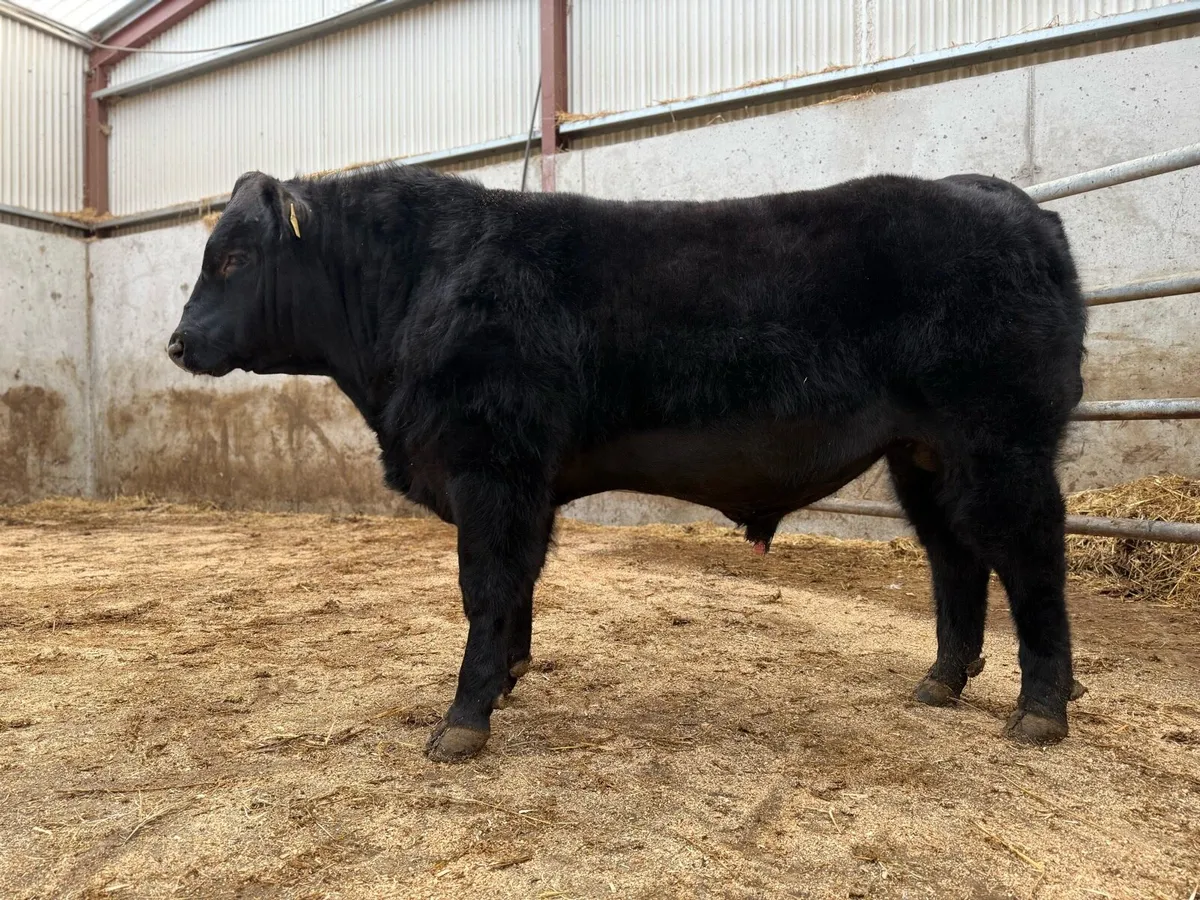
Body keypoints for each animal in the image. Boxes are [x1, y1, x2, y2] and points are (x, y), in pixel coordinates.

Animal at [167, 165, 1086, 762]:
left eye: (237, 257)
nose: (177, 342)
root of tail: (1011, 204)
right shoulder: (525, 483)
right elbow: (520, 586)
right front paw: (506, 679)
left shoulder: (491, 466)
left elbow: (485, 586)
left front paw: (462, 721)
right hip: (922, 456)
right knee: (954, 557)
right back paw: (942, 681)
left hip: (999, 442)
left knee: (1031, 556)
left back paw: (1040, 709)